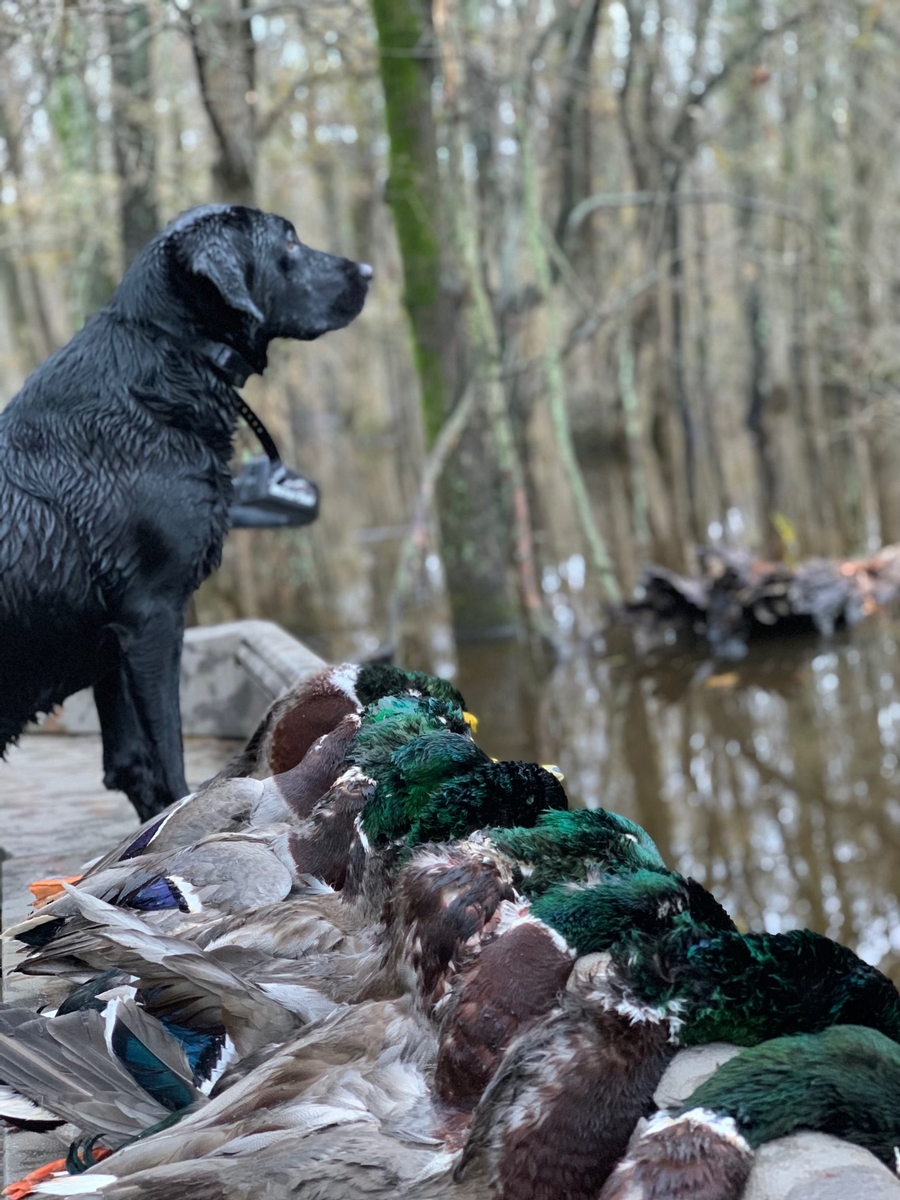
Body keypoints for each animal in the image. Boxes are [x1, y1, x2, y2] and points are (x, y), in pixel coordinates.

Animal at [0, 208, 372, 825]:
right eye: (290, 241)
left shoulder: (112, 640)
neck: (173, 362)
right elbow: (166, 761)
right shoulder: (153, 615)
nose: (366, 269)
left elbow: (130, 765)